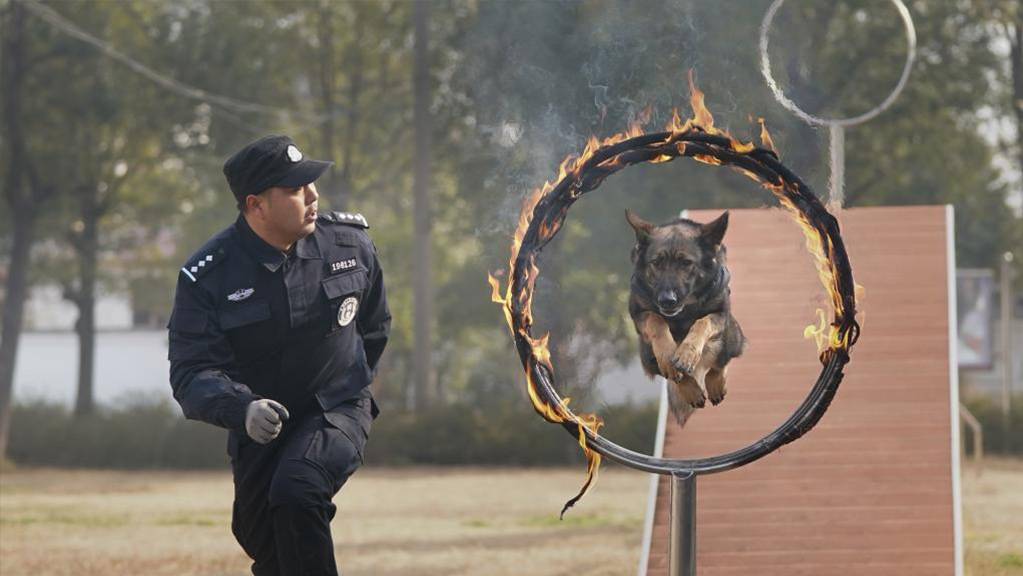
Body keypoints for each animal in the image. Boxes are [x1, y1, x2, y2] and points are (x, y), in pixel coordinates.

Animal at [621, 209, 744, 425]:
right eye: (656, 263)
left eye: (686, 263)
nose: (667, 300)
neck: (682, 314)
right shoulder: (639, 314)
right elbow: (656, 320)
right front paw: (669, 355)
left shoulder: (720, 314)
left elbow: (702, 322)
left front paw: (687, 353)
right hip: (646, 353)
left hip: (732, 334)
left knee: (721, 361)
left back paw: (715, 383)